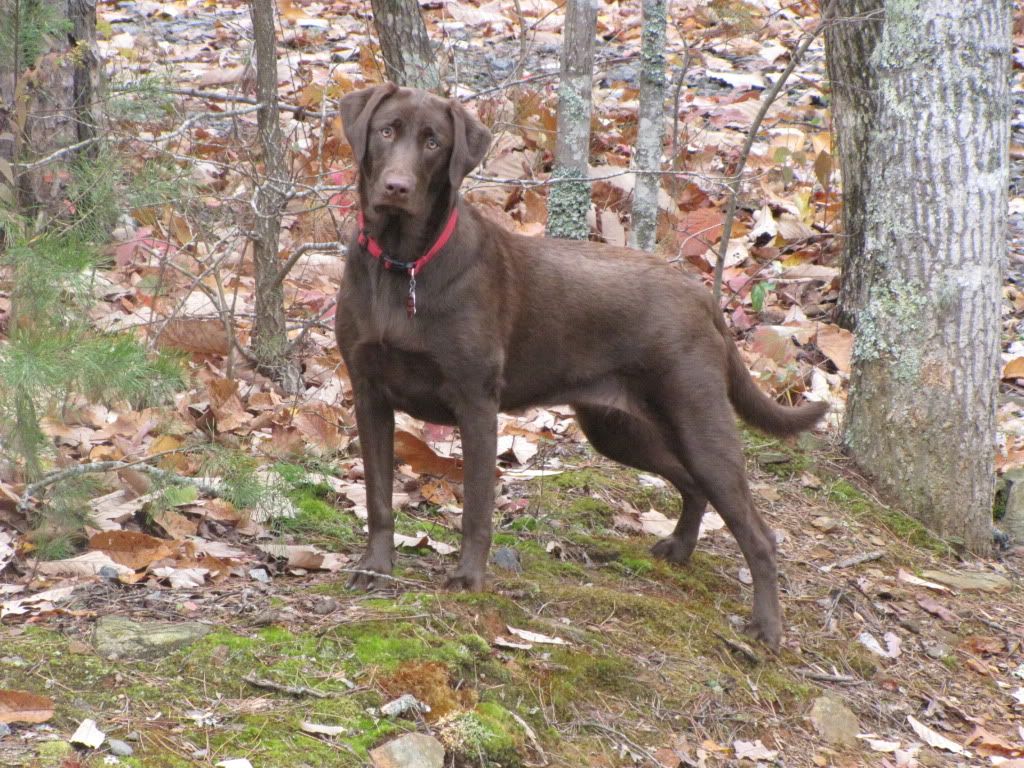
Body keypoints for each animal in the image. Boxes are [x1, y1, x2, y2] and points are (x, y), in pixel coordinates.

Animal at [333, 83, 823, 651]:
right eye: (386, 130)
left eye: (434, 142)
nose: (396, 186)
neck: (404, 265)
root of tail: (702, 295)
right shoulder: (368, 394)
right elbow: (379, 499)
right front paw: (375, 567)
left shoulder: (476, 403)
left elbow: (477, 508)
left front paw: (469, 579)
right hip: (618, 428)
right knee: (693, 485)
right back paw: (679, 551)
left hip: (698, 421)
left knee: (758, 534)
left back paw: (766, 629)